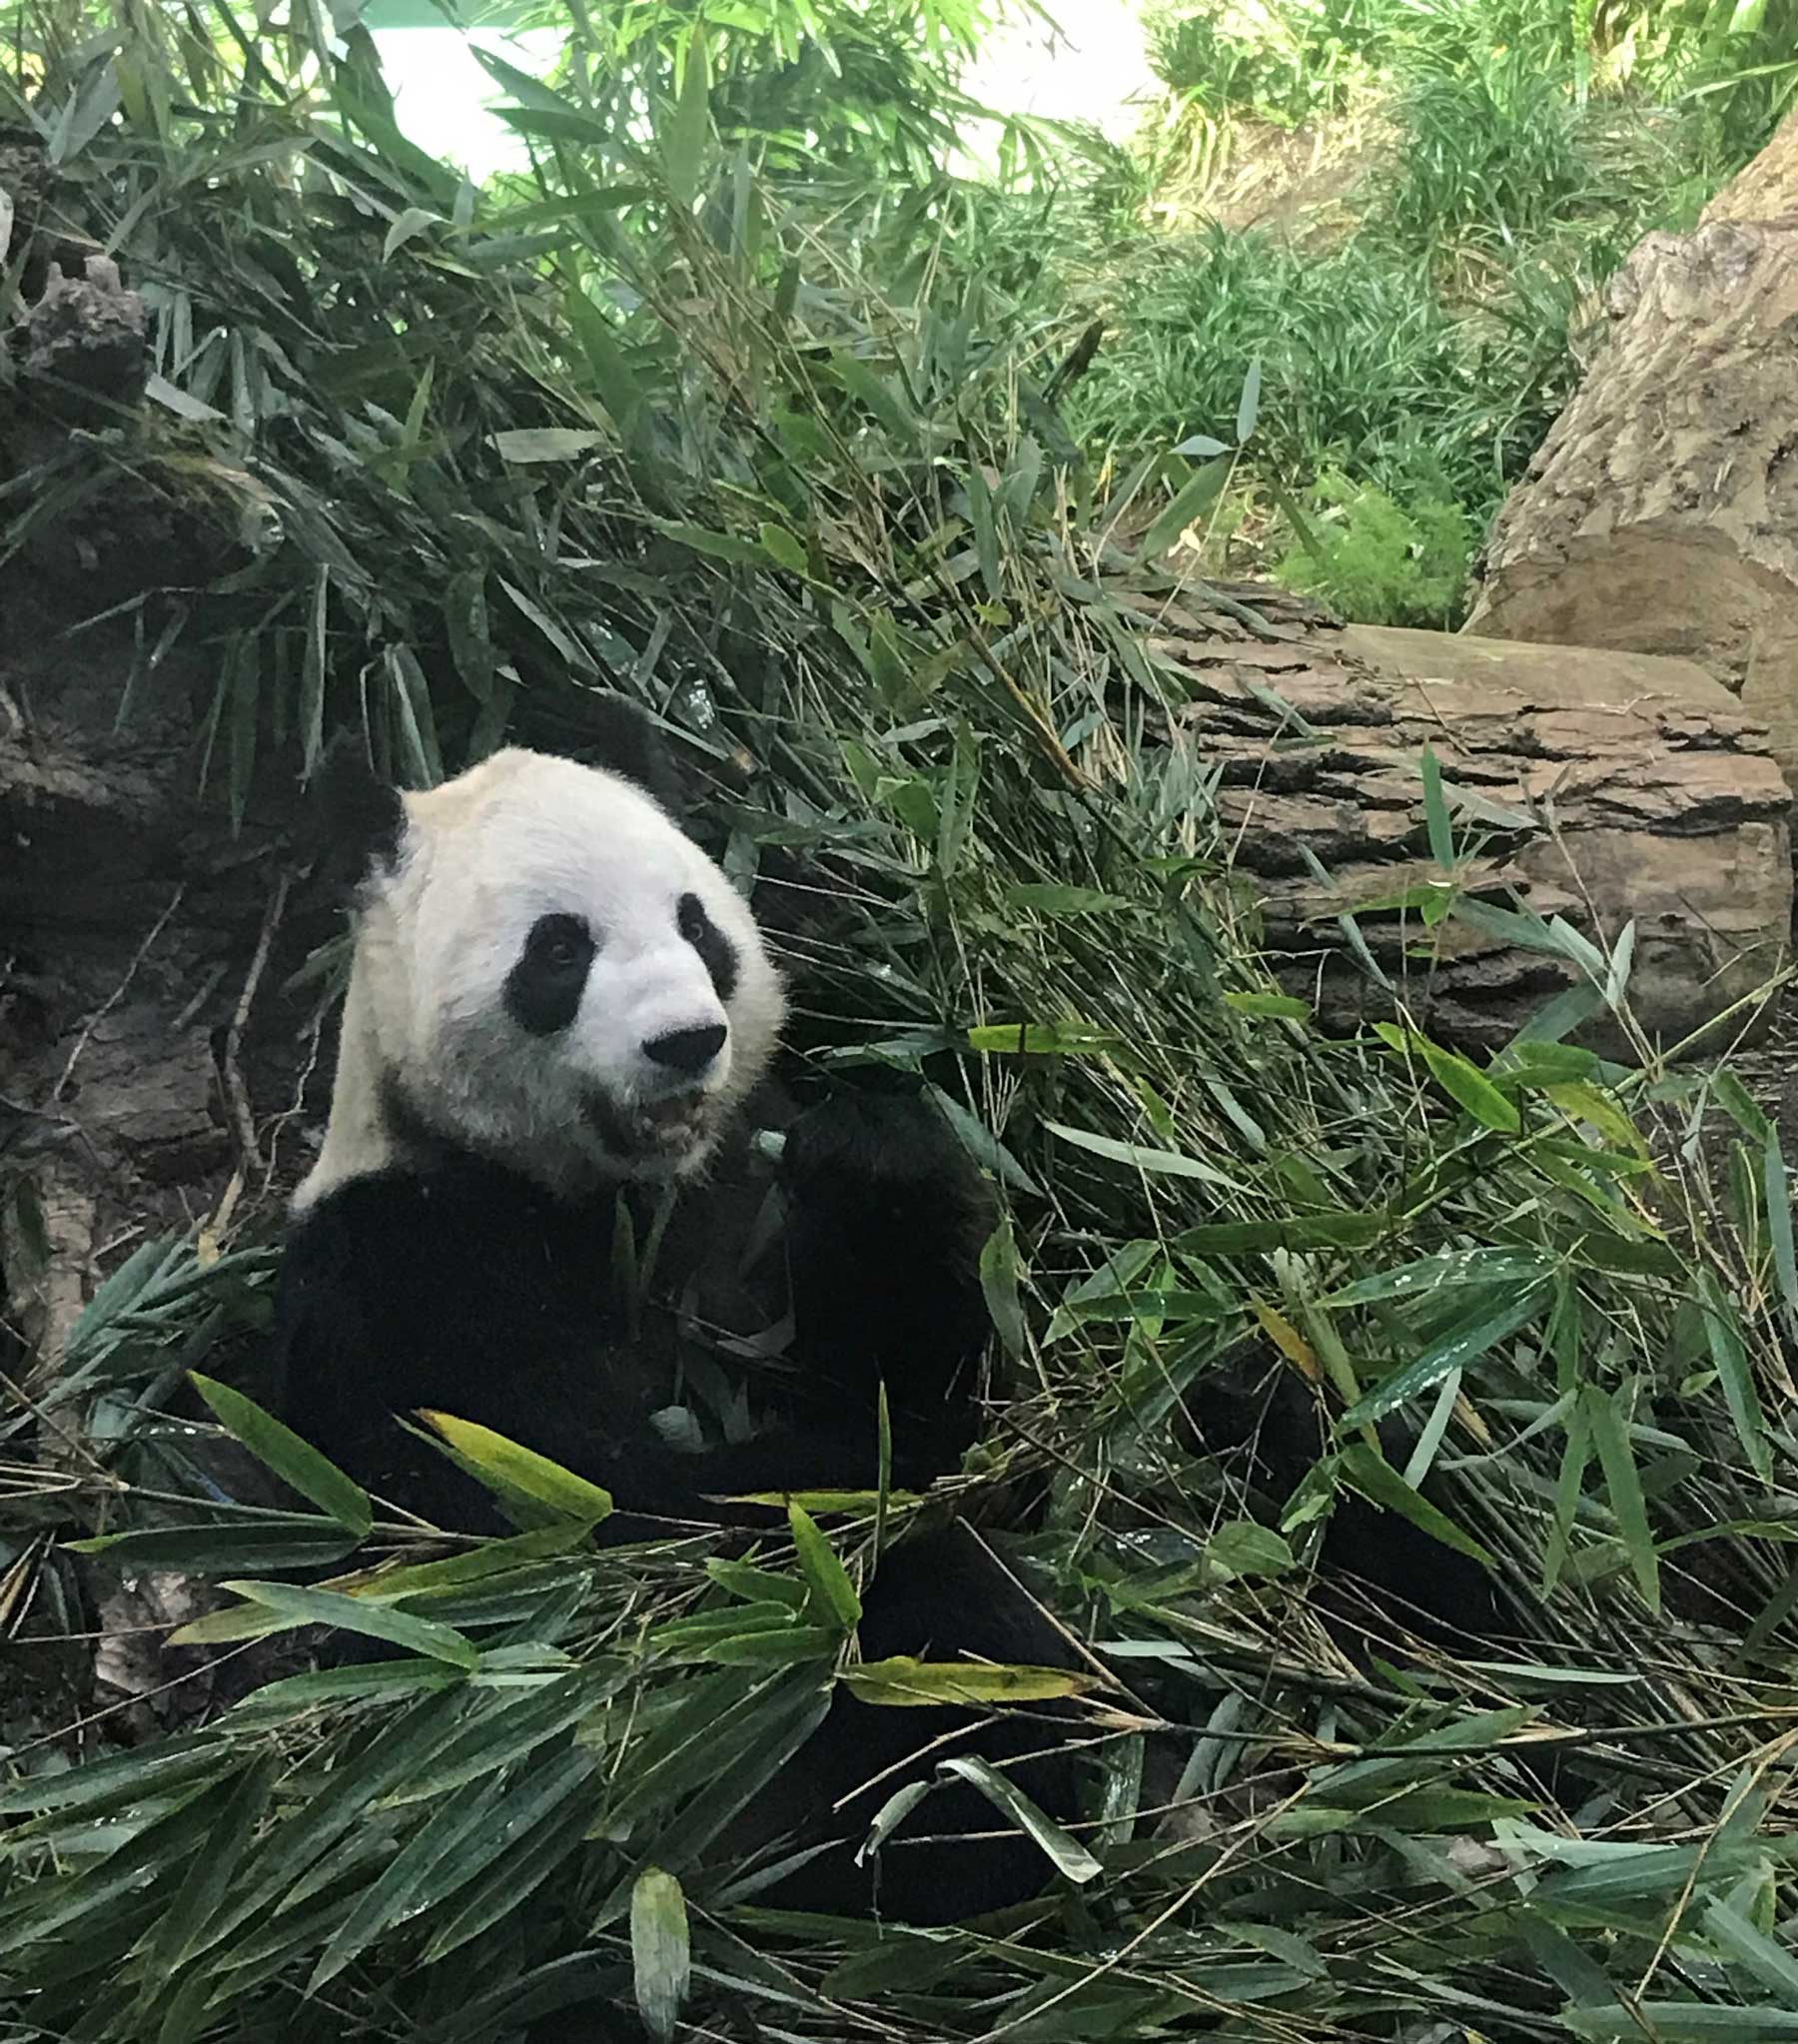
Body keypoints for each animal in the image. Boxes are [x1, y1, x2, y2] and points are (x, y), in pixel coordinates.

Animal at [267, 711, 1079, 1921]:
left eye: (697, 924)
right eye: (559, 951)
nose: (687, 1041)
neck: (615, 1192)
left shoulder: (742, 1182)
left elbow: (961, 1380)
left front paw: (873, 1158)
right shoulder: (404, 1269)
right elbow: (597, 1520)